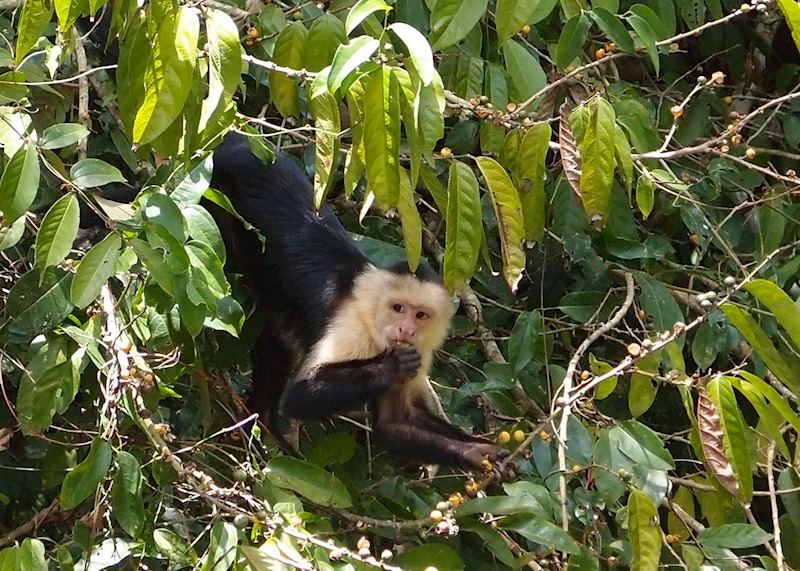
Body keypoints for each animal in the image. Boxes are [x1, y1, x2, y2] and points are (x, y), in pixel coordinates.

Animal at [210, 132, 508, 471]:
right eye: (398, 308)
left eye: (420, 315)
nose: (405, 330)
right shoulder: (353, 327)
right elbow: (299, 396)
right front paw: (390, 367)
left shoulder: (421, 348)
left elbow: (394, 424)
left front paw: (479, 452)